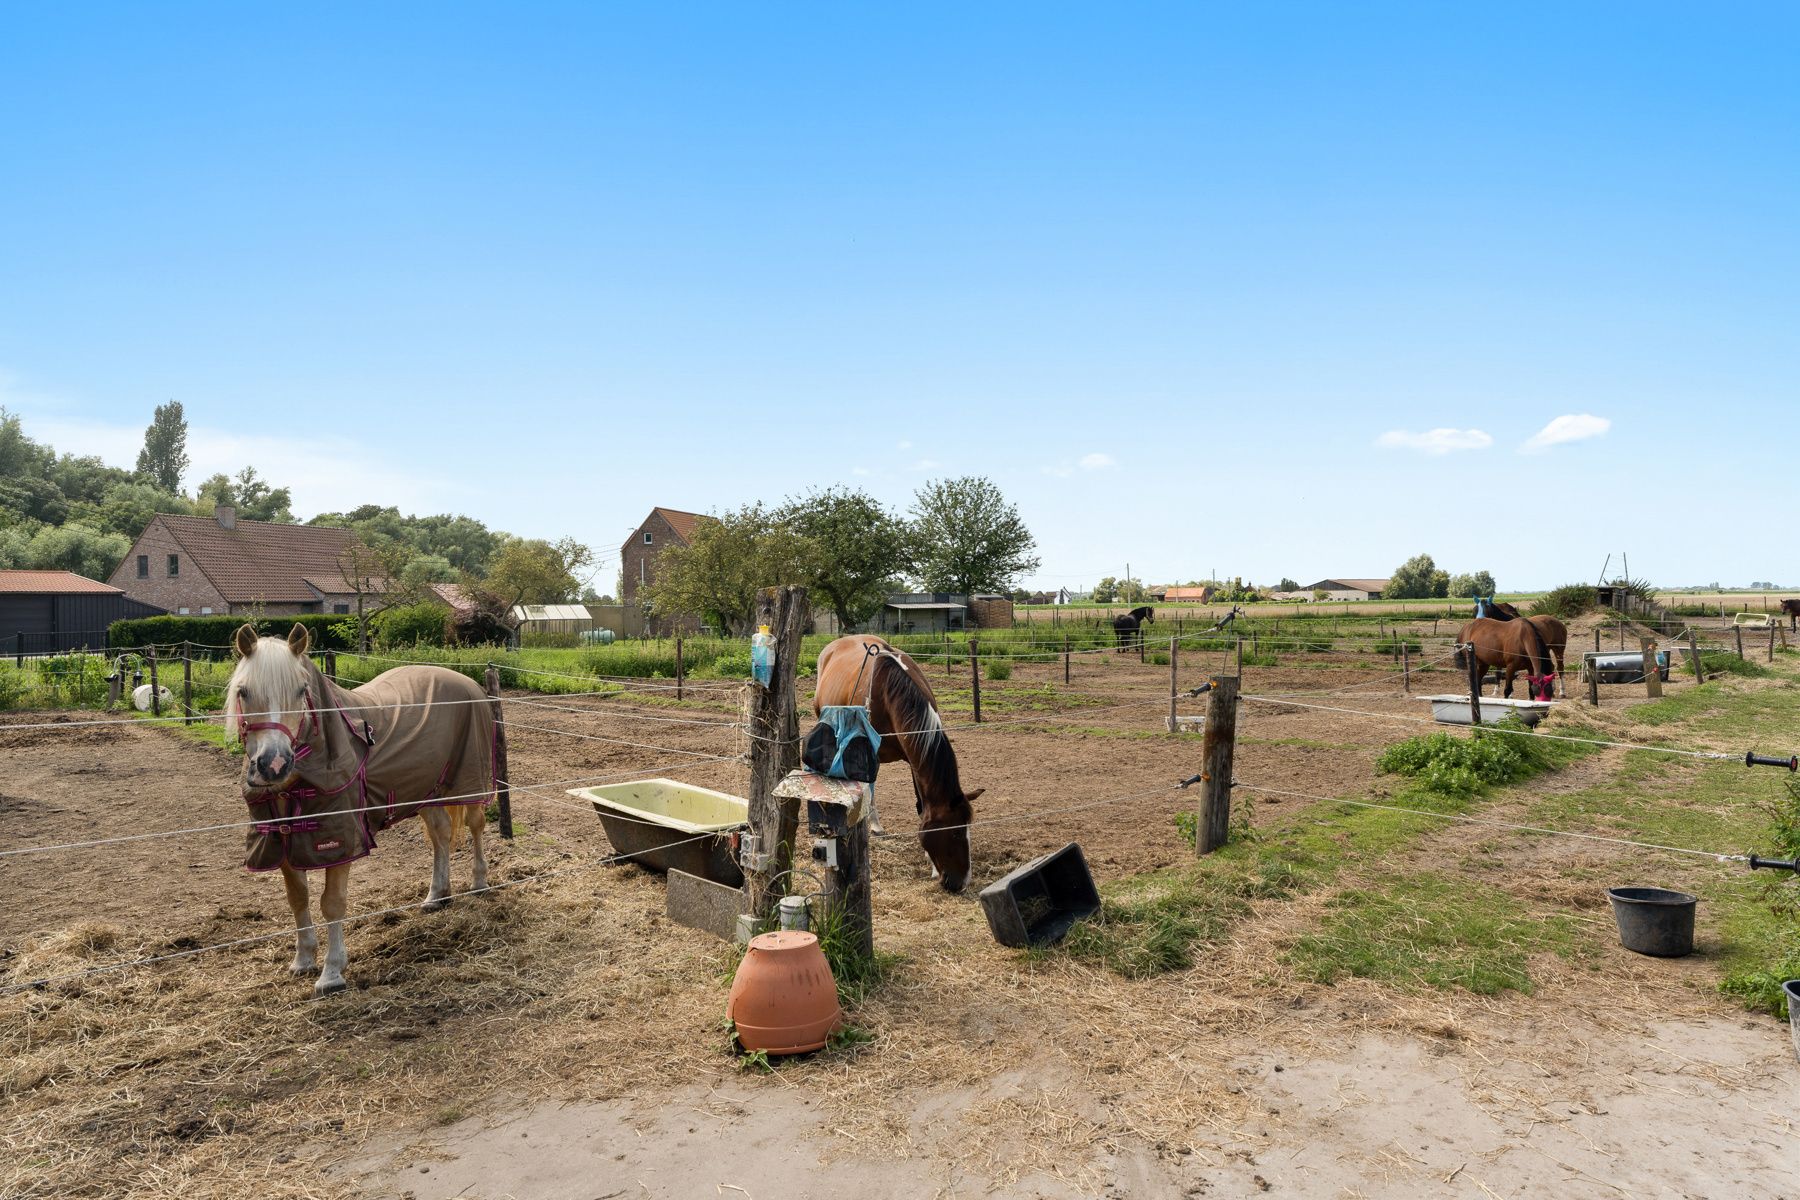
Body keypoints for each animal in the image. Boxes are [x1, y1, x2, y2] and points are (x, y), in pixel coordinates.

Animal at [232, 626, 504, 1000]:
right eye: (243, 691)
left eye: (301, 690)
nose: (273, 764)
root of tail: (469, 684)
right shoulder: (283, 840)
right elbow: (297, 898)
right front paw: (303, 960)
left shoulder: (340, 842)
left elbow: (332, 903)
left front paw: (332, 973)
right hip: (425, 792)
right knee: (441, 836)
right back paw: (437, 895)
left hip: (468, 784)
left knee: (475, 828)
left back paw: (478, 883)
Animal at [817, 636, 986, 892]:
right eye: (955, 832)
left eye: (968, 829)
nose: (961, 883)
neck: (888, 691)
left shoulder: (913, 756)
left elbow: (922, 804)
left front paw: (931, 864)